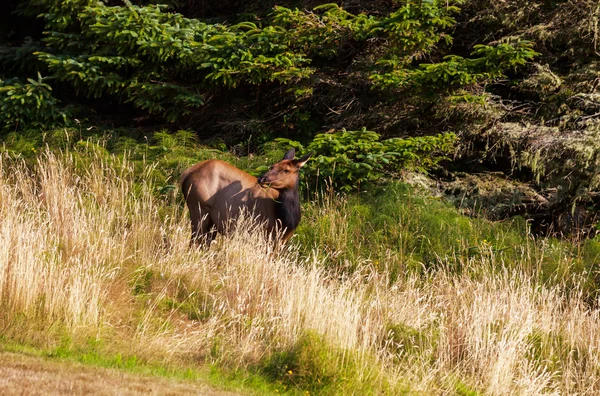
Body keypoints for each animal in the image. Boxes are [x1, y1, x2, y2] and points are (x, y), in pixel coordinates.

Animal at [179, 148, 312, 246]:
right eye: (272, 166)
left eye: (286, 170)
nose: (261, 178)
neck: (287, 219)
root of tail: (187, 173)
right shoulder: (261, 233)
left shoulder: (280, 241)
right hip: (199, 209)